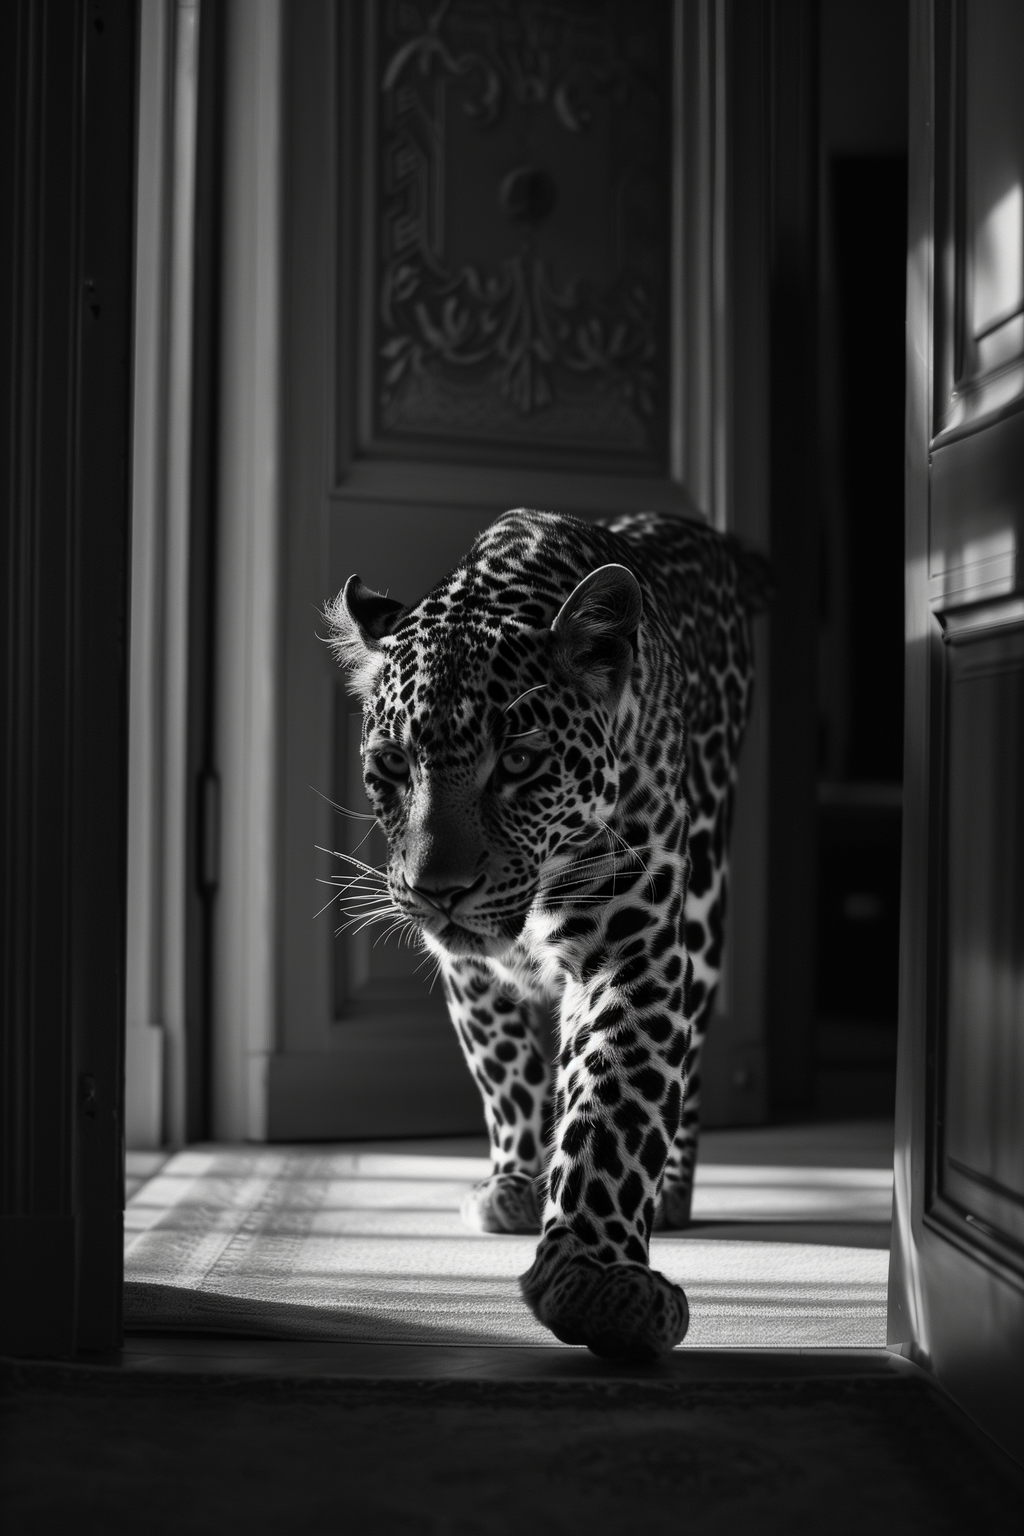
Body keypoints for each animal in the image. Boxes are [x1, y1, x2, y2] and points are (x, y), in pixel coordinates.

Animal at [326, 507, 770, 1361]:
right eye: (391, 765)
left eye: (521, 762)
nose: (437, 891)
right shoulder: (469, 971)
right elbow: (506, 1072)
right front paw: (516, 1183)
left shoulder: (630, 949)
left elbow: (615, 1104)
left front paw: (597, 1279)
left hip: (704, 901)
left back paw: (674, 1189)